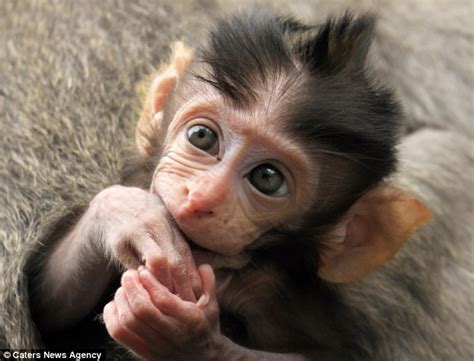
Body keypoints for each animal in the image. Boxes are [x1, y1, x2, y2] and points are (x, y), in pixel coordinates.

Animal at [33, 11, 430, 360]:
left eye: (267, 178)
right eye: (202, 137)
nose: (202, 197)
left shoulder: (275, 290)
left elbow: (326, 355)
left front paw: (182, 335)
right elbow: (51, 305)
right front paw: (131, 215)